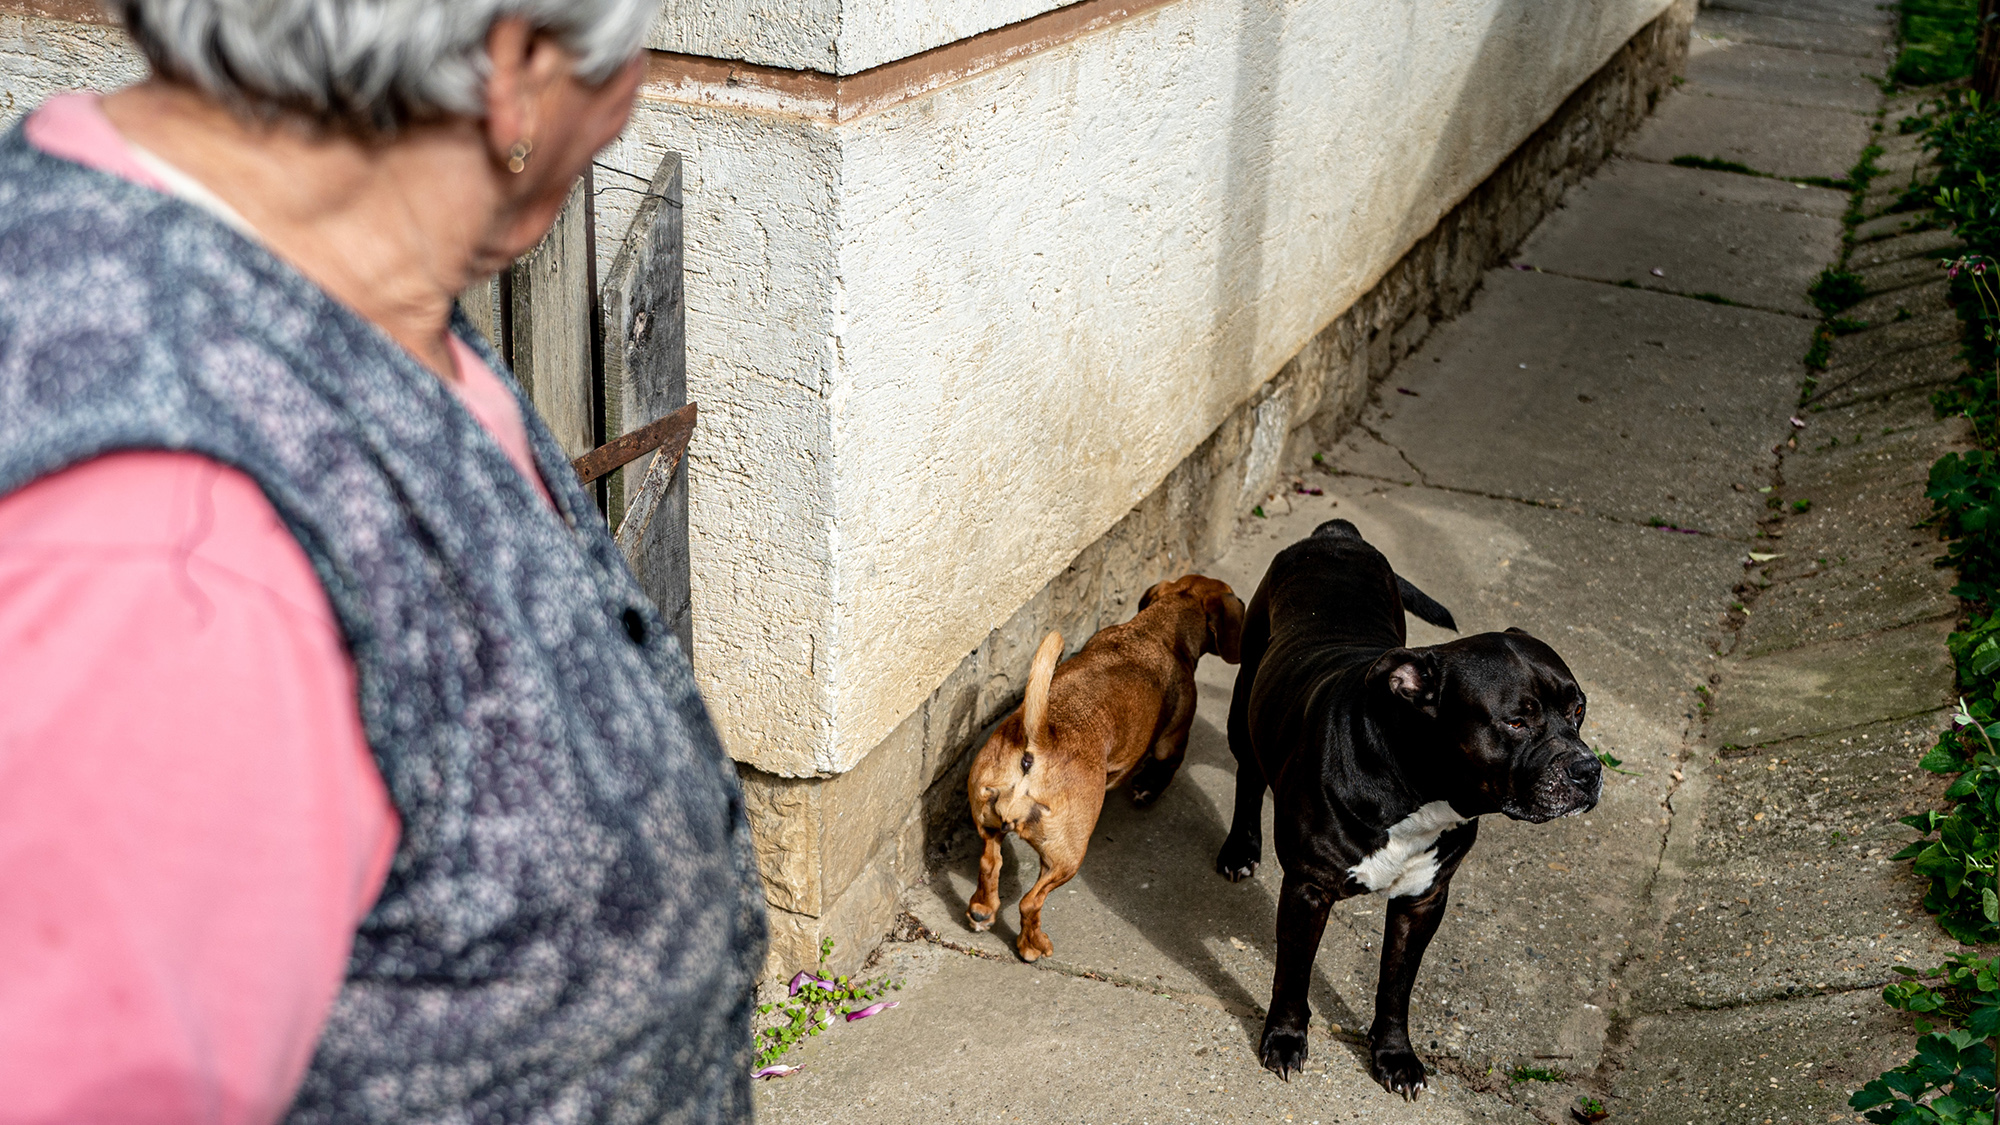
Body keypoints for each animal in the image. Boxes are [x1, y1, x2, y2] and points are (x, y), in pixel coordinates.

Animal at [964, 576, 1240, 952]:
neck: (1155, 629)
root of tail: (1038, 744)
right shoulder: (1173, 741)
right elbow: (1163, 769)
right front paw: (1146, 790)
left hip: (990, 826)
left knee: (989, 864)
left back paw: (982, 911)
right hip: (1065, 858)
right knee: (1030, 902)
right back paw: (1033, 946)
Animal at [1216, 520, 1592, 1088]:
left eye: (1579, 710)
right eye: (1515, 721)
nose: (1588, 769)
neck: (1417, 791)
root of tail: (1336, 532)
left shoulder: (1423, 900)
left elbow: (1396, 984)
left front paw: (1394, 1055)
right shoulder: (1308, 891)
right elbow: (1293, 976)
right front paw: (1283, 1040)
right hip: (1245, 703)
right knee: (1248, 771)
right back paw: (1240, 847)